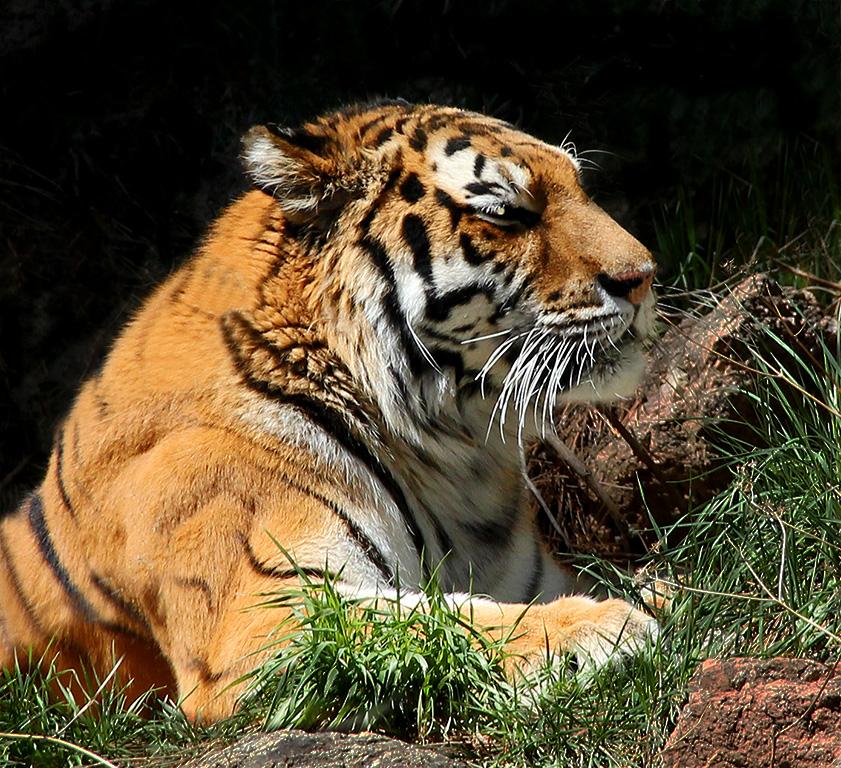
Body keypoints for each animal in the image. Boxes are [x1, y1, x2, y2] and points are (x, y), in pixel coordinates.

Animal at [0, 100, 658, 722]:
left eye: (580, 186)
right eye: (504, 212)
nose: (644, 277)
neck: (452, 453)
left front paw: (659, 597)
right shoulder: (261, 618)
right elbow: (437, 622)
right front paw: (602, 624)